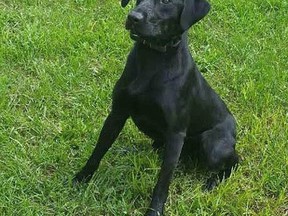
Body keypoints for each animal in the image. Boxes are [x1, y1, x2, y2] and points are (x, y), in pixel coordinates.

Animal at [73, 0, 238, 214]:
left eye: (166, 2)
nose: (133, 17)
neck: (152, 58)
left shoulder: (176, 134)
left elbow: (163, 182)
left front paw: (154, 210)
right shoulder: (117, 114)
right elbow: (98, 150)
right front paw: (82, 177)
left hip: (212, 145)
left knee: (235, 160)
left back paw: (213, 181)